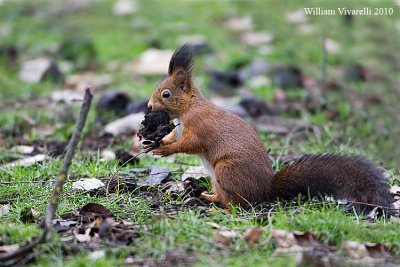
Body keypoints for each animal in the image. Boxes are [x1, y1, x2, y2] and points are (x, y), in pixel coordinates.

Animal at [145, 45, 392, 214]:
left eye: (166, 94)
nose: (148, 106)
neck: (188, 107)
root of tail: (264, 192)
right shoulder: (179, 129)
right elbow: (172, 137)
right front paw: (155, 143)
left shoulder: (199, 126)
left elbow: (189, 144)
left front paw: (165, 150)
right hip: (218, 178)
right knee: (224, 197)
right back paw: (208, 197)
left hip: (227, 170)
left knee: (237, 204)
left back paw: (219, 208)